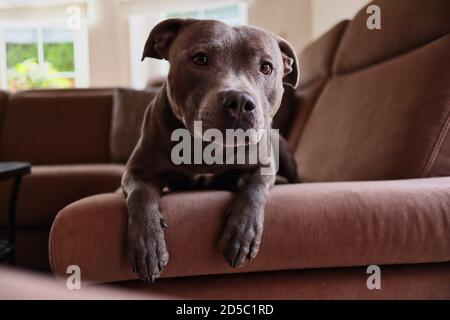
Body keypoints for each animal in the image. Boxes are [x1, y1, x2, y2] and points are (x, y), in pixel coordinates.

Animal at [121, 18, 300, 282]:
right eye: (200, 59)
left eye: (266, 68)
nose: (240, 100)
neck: (208, 147)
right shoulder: (138, 171)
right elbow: (140, 196)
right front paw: (147, 244)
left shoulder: (265, 165)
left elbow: (255, 188)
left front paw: (243, 232)